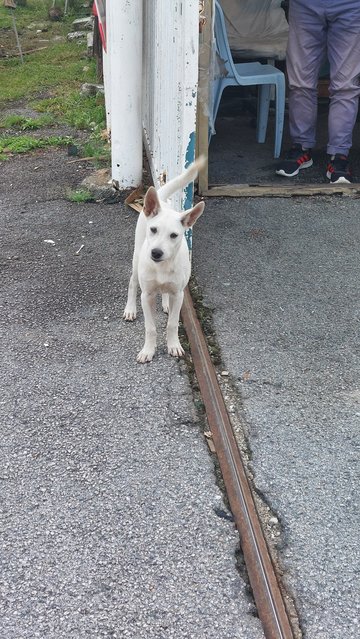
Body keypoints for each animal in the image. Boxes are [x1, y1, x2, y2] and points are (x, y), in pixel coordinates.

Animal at [123, 157, 205, 362]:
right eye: (154, 230)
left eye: (174, 235)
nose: (156, 253)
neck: (161, 267)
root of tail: (161, 199)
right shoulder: (146, 296)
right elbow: (150, 327)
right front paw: (148, 350)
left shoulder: (179, 294)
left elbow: (172, 324)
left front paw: (174, 345)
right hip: (136, 259)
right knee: (132, 283)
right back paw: (130, 309)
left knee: (165, 294)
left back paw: (166, 303)